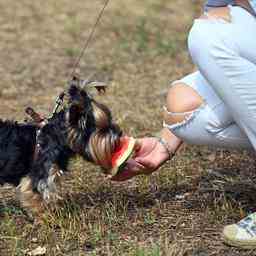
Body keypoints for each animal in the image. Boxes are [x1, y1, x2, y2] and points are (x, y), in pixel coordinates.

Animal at [0, 76, 122, 216]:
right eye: (103, 129)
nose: (120, 133)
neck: (56, 137)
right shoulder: (40, 176)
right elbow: (39, 199)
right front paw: (48, 217)